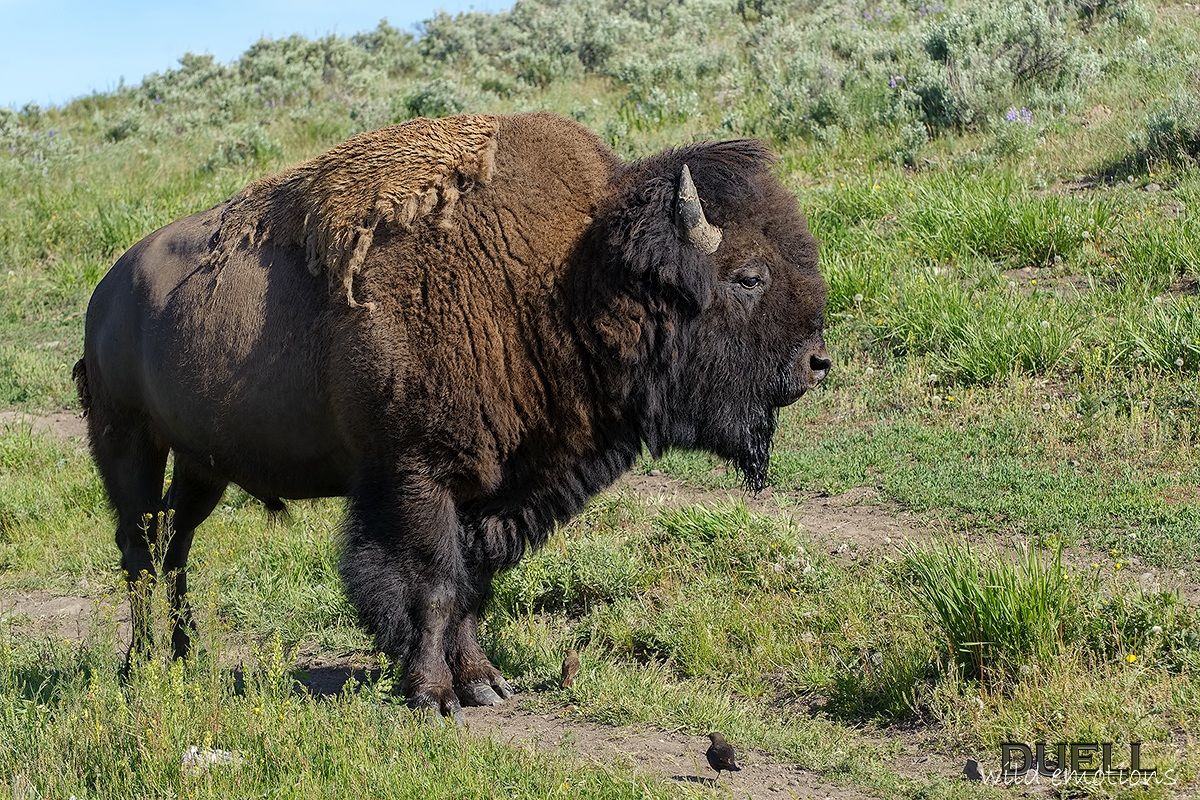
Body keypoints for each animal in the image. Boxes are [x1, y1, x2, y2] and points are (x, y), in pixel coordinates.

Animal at [75, 112, 829, 720]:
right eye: (749, 275)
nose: (817, 362)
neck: (570, 276)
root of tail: (107, 290)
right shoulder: (419, 477)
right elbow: (433, 584)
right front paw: (434, 694)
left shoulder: (496, 490)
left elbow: (472, 584)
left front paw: (484, 684)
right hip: (127, 444)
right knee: (139, 549)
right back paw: (141, 665)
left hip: (202, 466)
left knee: (175, 548)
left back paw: (183, 655)